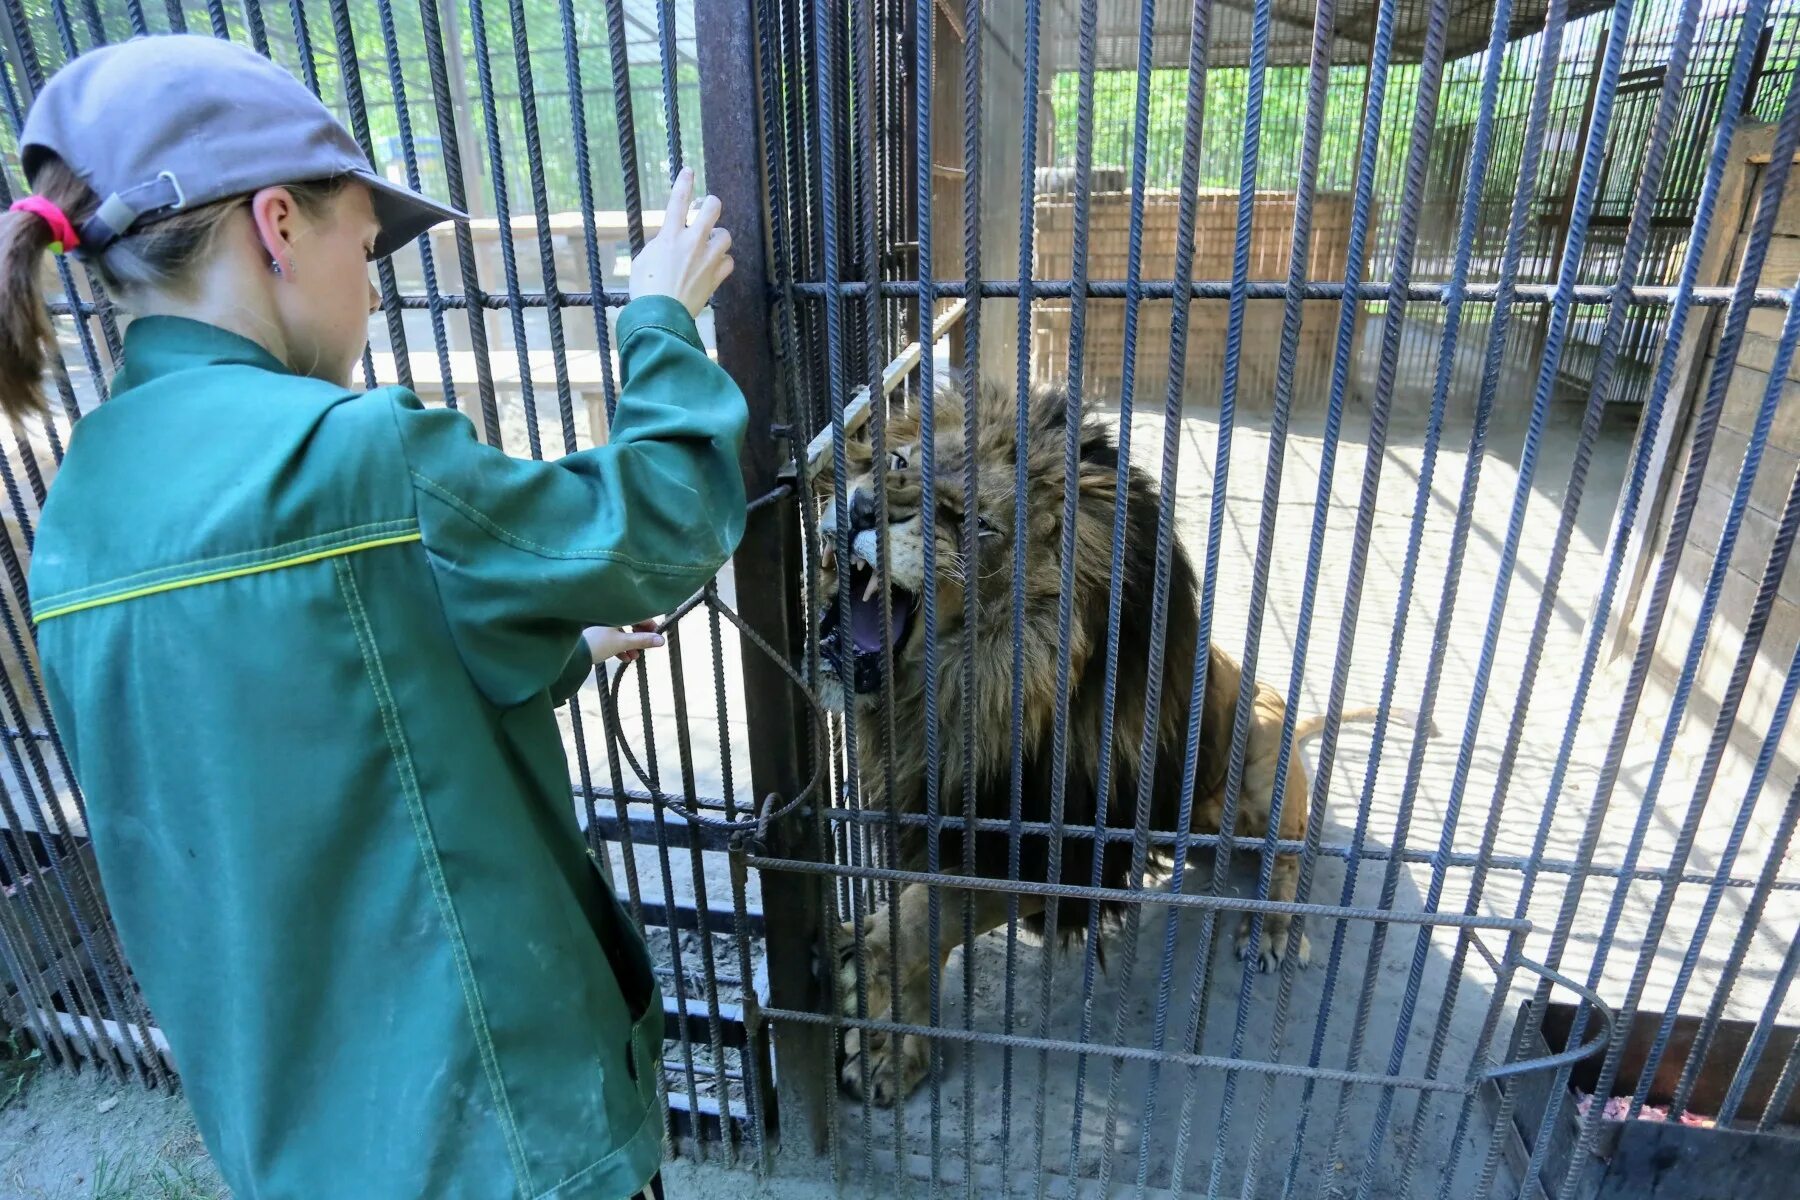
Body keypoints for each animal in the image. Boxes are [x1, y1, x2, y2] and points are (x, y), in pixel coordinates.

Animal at [813, 385, 1389, 1108]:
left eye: (978, 524)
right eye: (895, 459)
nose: (862, 508)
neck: (962, 700)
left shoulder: (1067, 851)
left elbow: (931, 911)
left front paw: (868, 981)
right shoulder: (933, 810)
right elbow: (923, 914)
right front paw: (892, 1034)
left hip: (1263, 762)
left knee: (1291, 858)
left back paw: (1273, 929)